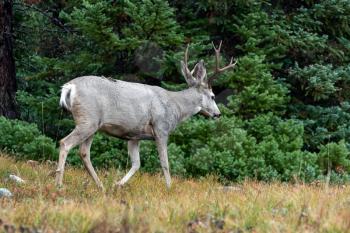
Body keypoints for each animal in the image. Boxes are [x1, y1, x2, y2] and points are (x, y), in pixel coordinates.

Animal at [56, 41, 237, 190]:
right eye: (213, 96)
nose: (218, 114)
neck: (175, 107)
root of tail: (69, 87)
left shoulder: (134, 135)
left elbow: (137, 163)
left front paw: (118, 184)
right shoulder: (161, 128)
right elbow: (165, 163)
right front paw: (169, 188)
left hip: (93, 125)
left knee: (84, 152)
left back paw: (100, 185)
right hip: (88, 119)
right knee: (65, 143)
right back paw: (59, 184)